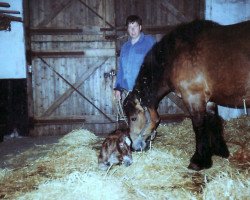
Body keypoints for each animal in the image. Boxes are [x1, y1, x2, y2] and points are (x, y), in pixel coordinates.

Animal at [123, 19, 250, 170]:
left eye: (134, 118)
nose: (134, 146)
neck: (175, 55)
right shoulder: (209, 100)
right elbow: (213, 121)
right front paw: (219, 151)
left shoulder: (193, 97)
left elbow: (199, 126)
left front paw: (198, 160)